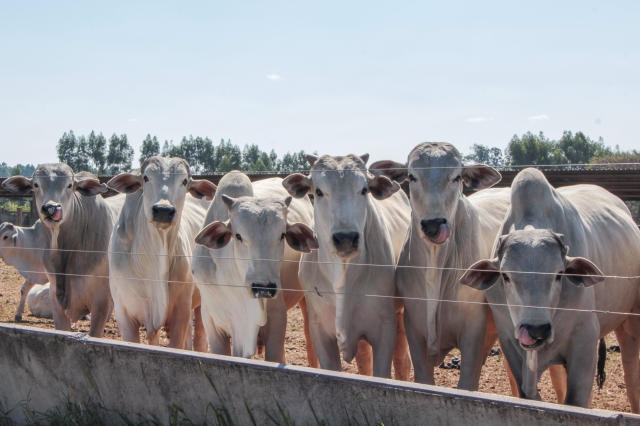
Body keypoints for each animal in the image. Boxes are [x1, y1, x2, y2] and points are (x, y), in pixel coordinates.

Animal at [105, 156, 215, 350]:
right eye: (146, 178)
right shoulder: (125, 314)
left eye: (184, 181)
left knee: (200, 338)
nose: (163, 210)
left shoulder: (181, 310)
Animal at [282, 154, 412, 380]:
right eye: (318, 191)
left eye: (364, 189)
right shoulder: (320, 331)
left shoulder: (384, 329)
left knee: (402, 361)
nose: (345, 238)